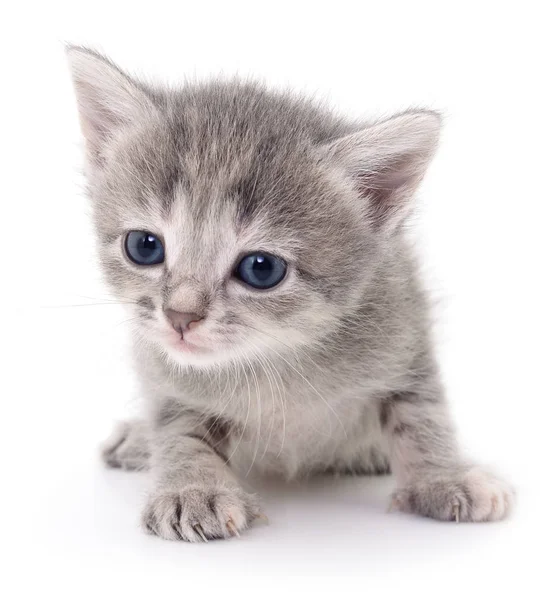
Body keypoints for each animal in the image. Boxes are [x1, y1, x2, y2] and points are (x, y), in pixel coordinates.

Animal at [68, 47, 516, 540]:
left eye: (261, 269)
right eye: (144, 246)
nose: (180, 316)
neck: (275, 358)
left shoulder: (404, 330)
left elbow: (422, 412)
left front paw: (445, 477)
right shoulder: (165, 374)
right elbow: (179, 427)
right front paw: (192, 488)